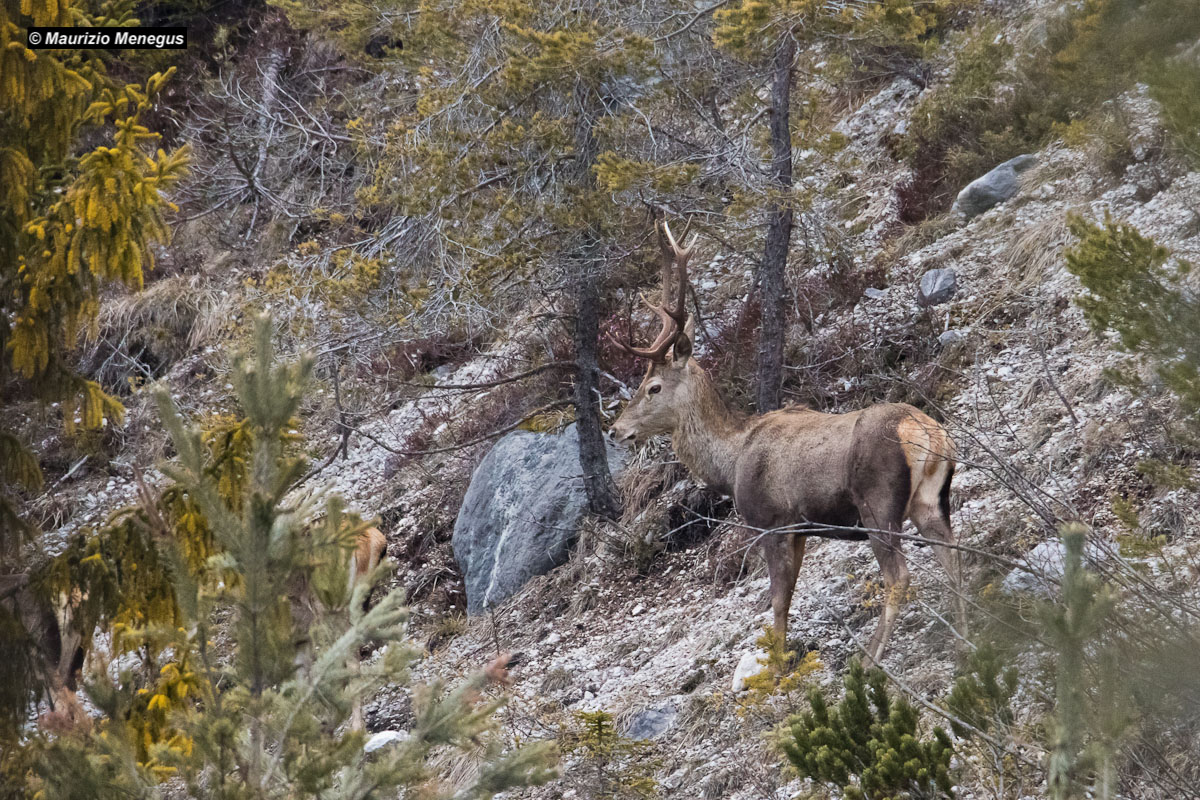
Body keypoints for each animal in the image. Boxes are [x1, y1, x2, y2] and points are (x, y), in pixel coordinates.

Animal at [607, 221, 961, 665]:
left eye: (653, 386)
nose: (615, 430)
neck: (731, 460)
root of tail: (926, 432)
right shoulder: (801, 530)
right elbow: (788, 597)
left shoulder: (773, 522)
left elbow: (778, 601)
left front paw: (777, 669)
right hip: (931, 500)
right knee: (954, 557)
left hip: (877, 503)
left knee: (899, 575)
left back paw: (871, 659)